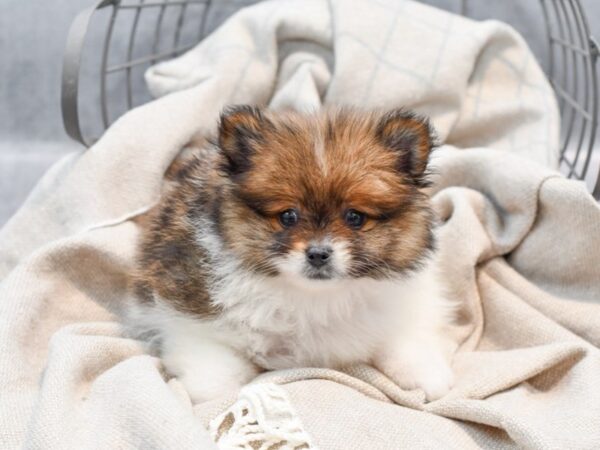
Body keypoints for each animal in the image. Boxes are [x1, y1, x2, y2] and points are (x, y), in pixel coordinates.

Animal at [131, 107, 454, 402]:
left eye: (355, 217)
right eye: (288, 216)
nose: (318, 253)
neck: (316, 299)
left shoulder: (405, 305)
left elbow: (404, 341)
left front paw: (430, 377)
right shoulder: (190, 319)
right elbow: (217, 375)